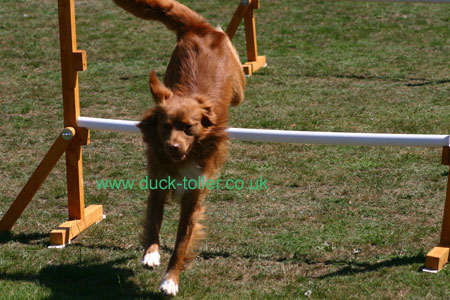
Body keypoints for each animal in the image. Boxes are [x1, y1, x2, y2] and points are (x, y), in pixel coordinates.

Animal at [112, 0, 246, 296]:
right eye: (165, 126)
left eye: (188, 128)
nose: (172, 146)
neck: (182, 159)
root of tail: (200, 29)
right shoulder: (157, 186)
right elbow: (153, 225)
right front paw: (151, 255)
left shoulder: (193, 201)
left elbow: (181, 245)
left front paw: (170, 280)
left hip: (239, 85)